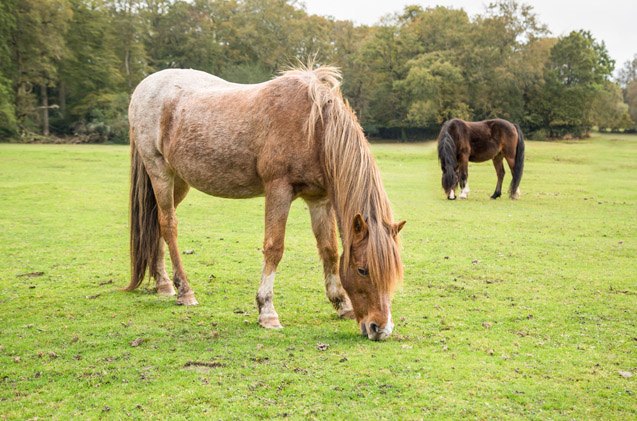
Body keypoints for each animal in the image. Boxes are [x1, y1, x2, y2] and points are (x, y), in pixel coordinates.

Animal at [125, 66, 402, 342]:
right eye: (363, 270)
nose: (380, 328)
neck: (314, 128)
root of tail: (144, 86)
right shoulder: (278, 189)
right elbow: (274, 248)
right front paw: (267, 311)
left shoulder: (319, 199)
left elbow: (329, 250)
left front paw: (341, 304)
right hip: (159, 172)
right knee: (168, 225)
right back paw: (185, 290)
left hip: (179, 181)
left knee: (157, 224)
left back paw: (163, 284)